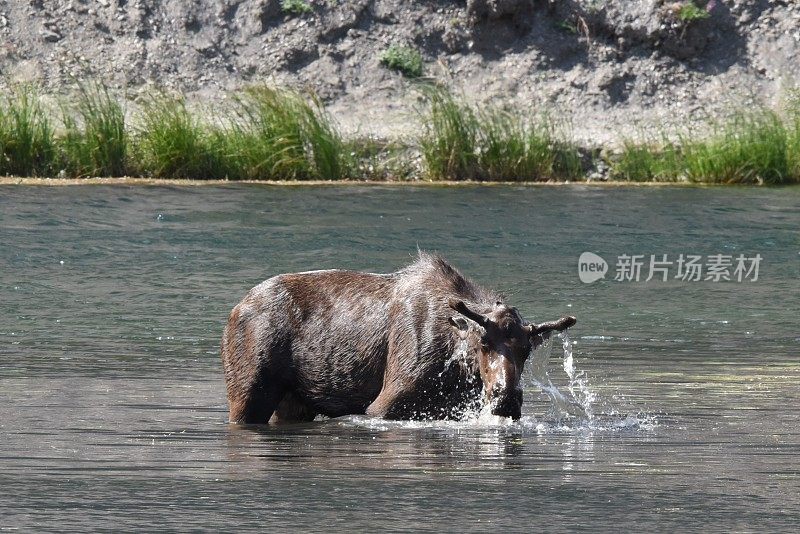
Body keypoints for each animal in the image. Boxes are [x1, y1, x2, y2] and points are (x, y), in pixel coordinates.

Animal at [222, 253, 576, 426]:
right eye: (483, 344)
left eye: (526, 351)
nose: (507, 397)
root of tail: (235, 308)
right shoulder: (385, 403)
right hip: (248, 391)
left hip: (295, 401)